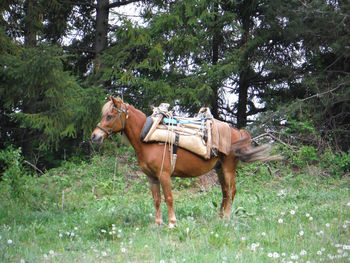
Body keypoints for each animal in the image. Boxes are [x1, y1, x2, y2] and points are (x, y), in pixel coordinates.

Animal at [91, 97, 280, 229]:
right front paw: (157, 223)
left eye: (110, 116)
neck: (147, 137)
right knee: (225, 192)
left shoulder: (164, 175)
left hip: (228, 168)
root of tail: (237, 132)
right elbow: (156, 199)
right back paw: (219, 217)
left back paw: (226, 218)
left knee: (231, 191)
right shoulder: (152, 177)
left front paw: (172, 223)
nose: (95, 136)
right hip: (220, 169)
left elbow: (168, 198)